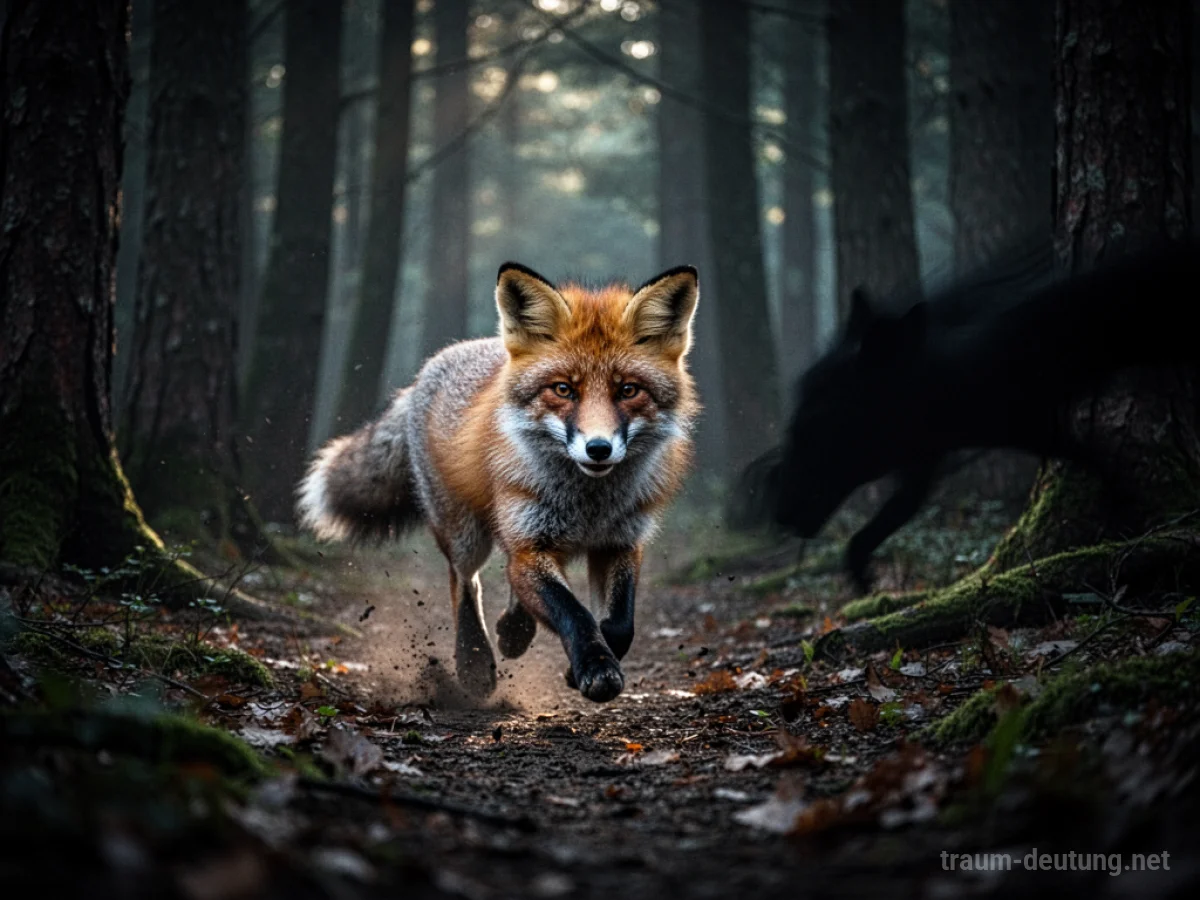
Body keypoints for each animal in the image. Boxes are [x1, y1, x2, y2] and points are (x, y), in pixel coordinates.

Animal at [297, 262, 700, 703]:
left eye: (628, 390)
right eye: (563, 389)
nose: (598, 448)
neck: (589, 506)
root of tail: (432, 366)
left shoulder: (619, 542)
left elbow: (619, 625)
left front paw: (584, 665)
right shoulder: (531, 543)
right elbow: (574, 612)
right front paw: (595, 667)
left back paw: (513, 630)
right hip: (465, 533)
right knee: (465, 582)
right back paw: (475, 663)